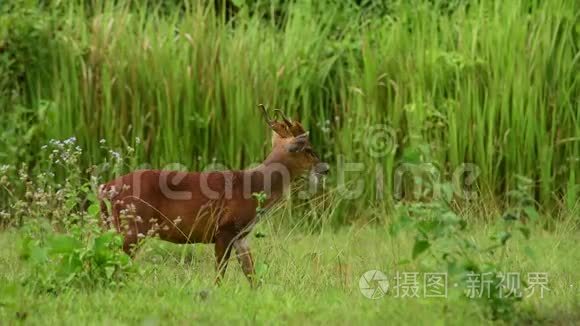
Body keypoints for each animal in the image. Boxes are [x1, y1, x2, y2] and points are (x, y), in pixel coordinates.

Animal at [97, 105, 328, 286]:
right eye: (308, 149)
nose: (325, 168)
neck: (254, 187)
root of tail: (106, 187)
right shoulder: (224, 228)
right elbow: (219, 277)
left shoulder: (241, 235)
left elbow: (252, 276)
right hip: (133, 225)